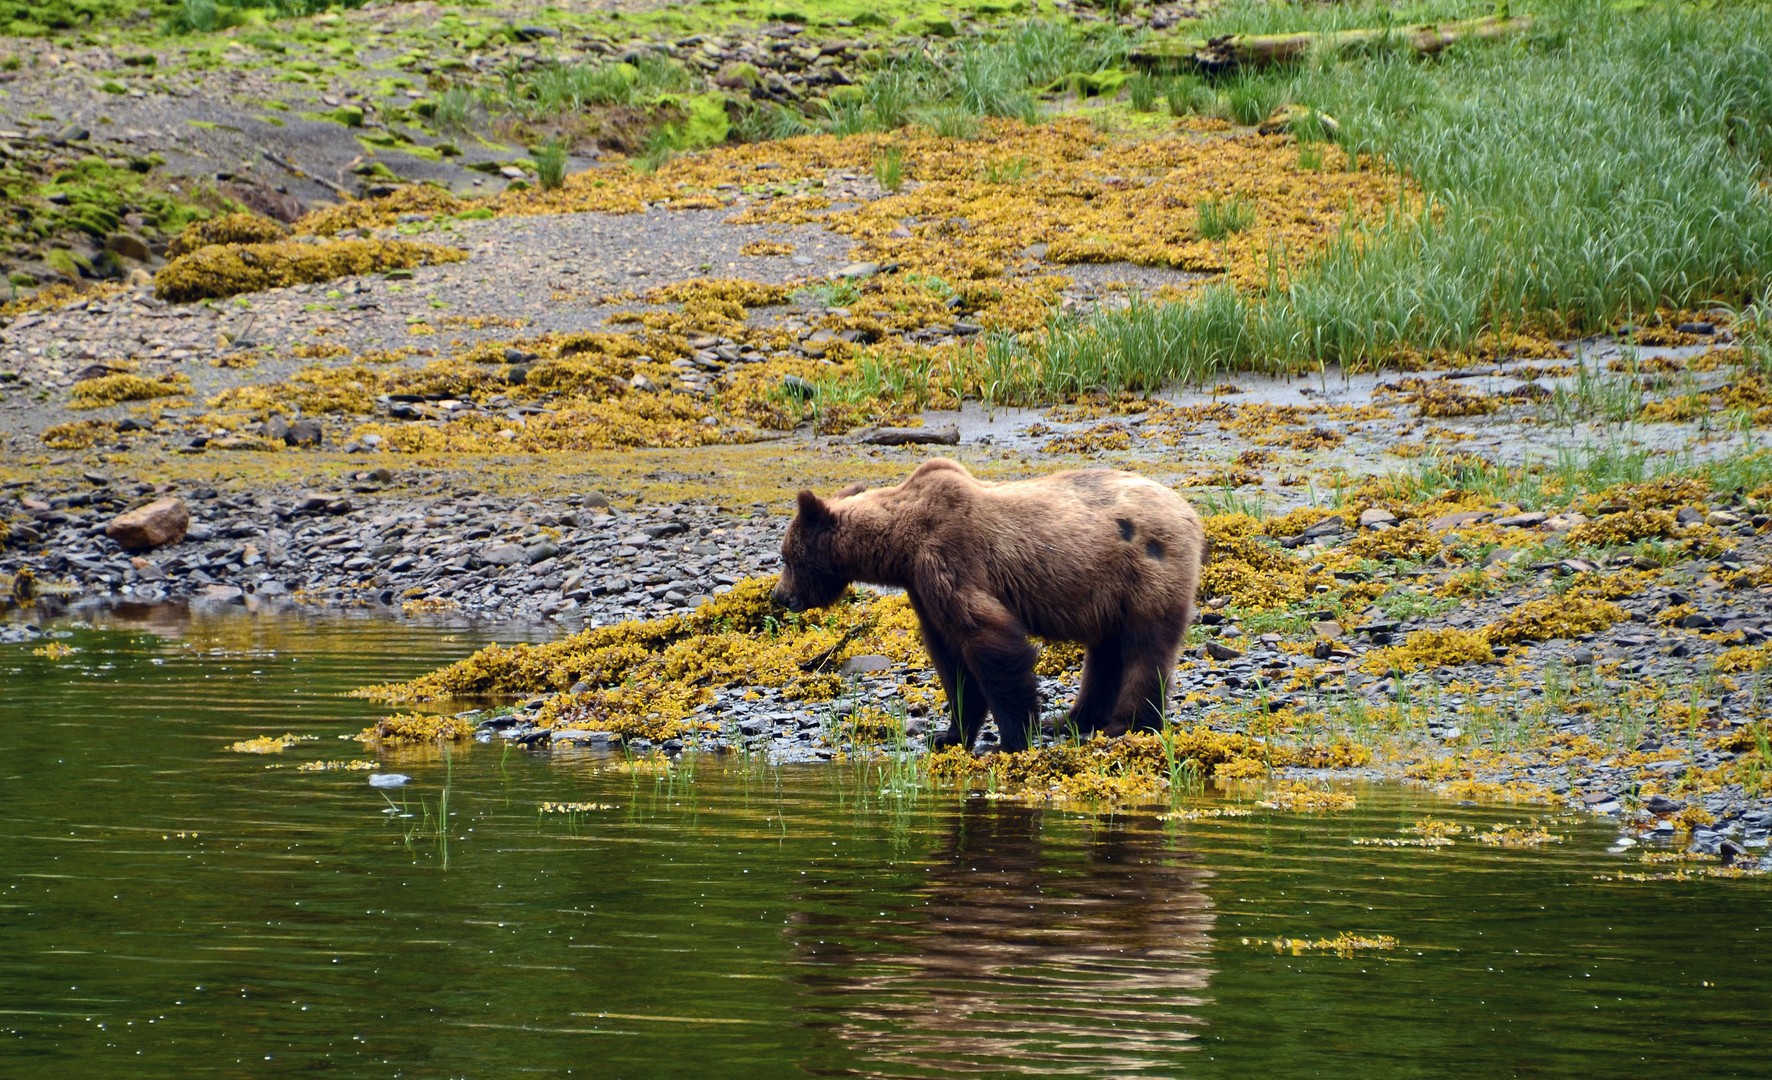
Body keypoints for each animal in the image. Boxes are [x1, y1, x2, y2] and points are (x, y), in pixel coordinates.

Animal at [771, 458, 1206, 753]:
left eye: (787, 557)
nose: (780, 597)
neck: (900, 549)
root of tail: (1188, 510)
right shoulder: (923, 591)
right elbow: (951, 662)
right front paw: (948, 734)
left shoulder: (950, 556)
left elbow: (989, 639)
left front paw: (1011, 737)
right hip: (1108, 594)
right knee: (1105, 653)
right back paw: (1071, 720)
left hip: (1145, 571)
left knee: (1144, 649)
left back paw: (1127, 723)